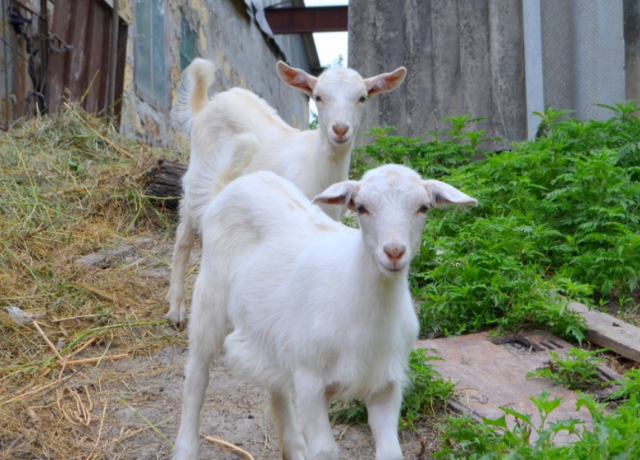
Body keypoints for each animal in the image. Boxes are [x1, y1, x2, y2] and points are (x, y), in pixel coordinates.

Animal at [165, 58, 404, 324]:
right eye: (318, 97)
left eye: (362, 98)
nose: (340, 129)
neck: (313, 164)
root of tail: (205, 105)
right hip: (199, 171)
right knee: (184, 232)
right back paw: (176, 307)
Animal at [172, 165, 478, 460]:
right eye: (361, 207)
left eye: (423, 207)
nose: (394, 252)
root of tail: (236, 183)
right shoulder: (310, 382)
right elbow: (324, 451)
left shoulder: (385, 384)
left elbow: (391, 451)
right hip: (210, 293)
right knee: (197, 372)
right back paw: (186, 449)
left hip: (271, 330)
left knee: (274, 380)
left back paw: (293, 447)